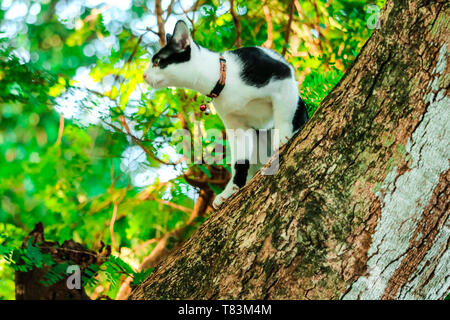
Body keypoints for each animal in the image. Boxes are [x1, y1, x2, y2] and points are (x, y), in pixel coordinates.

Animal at [144, 21, 310, 209]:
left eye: (157, 62)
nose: (144, 75)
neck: (223, 78)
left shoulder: (282, 75)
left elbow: (283, 113)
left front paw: (282, 136)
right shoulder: (236, 125)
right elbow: (240, 160)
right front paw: (231, 189)